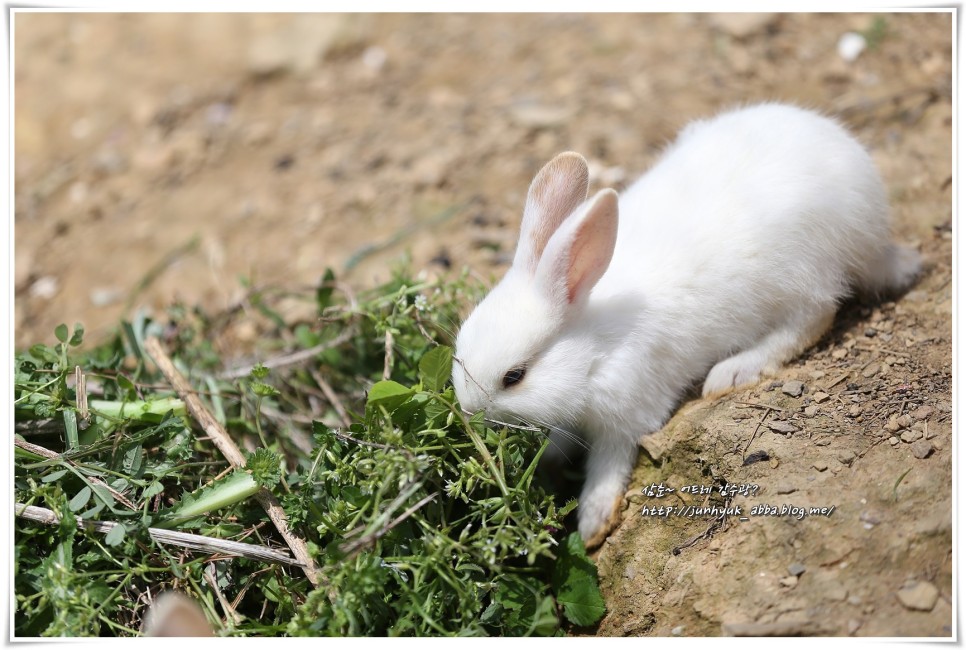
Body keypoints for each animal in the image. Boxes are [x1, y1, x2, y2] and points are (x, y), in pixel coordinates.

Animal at [454, 102, 924, 540]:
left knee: (814, 317)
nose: (468, 412)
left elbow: (609, 465)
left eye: (514, 377)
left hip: (802, 274)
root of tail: (872, 228)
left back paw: (732, 372)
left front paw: (593, 525)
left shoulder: (627, 413)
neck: (593, 344)